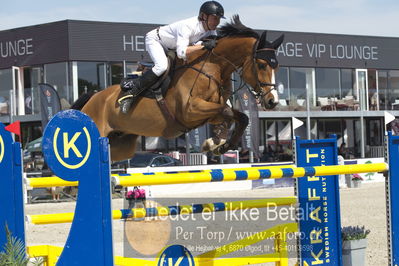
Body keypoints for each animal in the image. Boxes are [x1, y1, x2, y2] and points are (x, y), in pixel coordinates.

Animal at [72, 16, 284, 163]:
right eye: (262, 65)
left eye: (277, 67)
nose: (272, 101)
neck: (213, 67)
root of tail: (93, 97)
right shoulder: (190, 111)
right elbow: (227, 111)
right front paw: (215, 143)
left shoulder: (209, 112)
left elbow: (239, 117)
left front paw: (218, 145)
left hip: (121, 144)